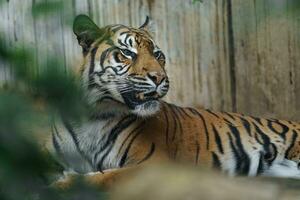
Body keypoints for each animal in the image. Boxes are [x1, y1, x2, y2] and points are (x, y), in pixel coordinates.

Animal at [47, 14, 300, 188]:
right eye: (128, 53)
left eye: (158, 55)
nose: (160, 78)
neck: (95, 114)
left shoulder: (154, 164)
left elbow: (105, 177)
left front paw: (63, 182)